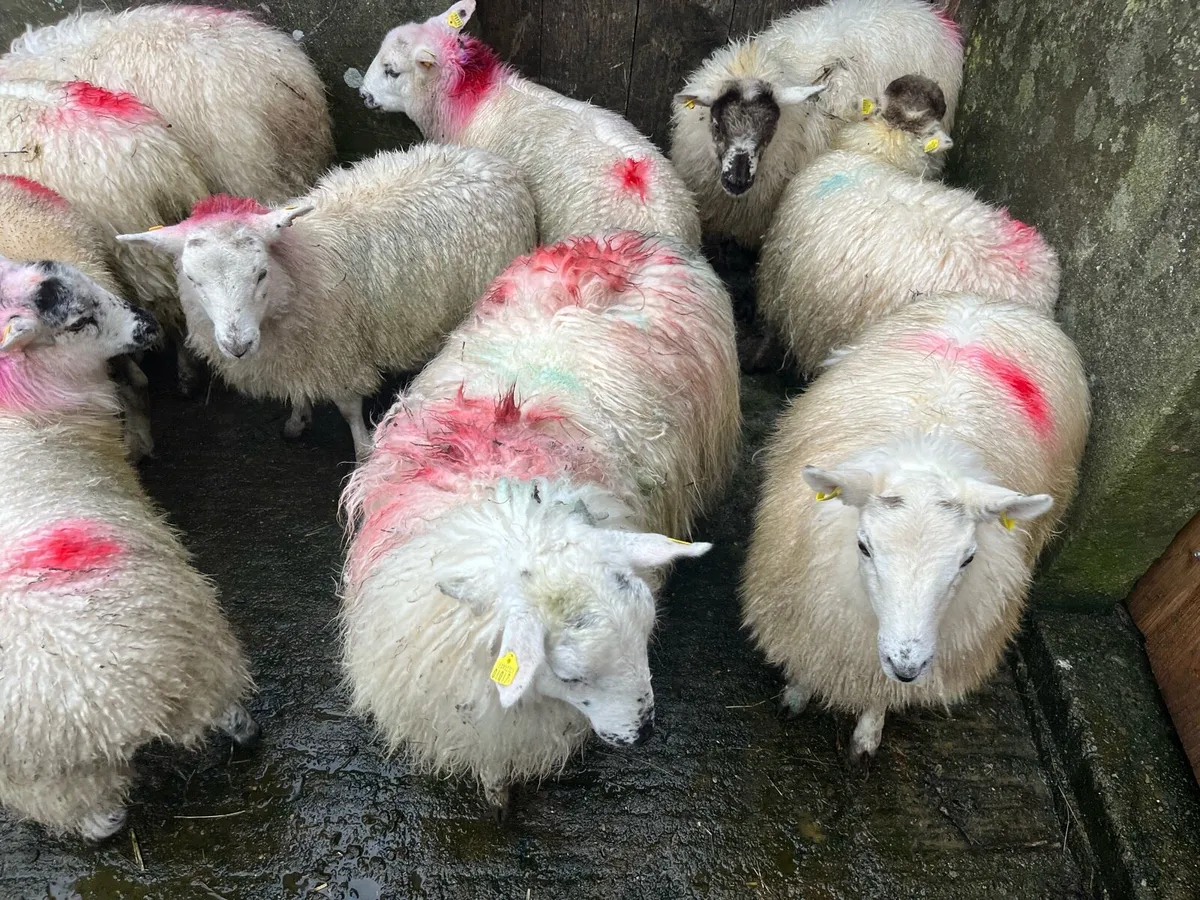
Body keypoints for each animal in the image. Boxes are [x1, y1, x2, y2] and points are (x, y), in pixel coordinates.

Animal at [118, 144, 538, 459]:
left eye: (260, 273)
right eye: (193, 280)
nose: (237, 345)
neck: (298, 267)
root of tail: (494, 163)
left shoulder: (338, 350)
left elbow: (348, 407)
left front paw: (364, 451)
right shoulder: (299, 353)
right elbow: (298, 390)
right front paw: (296, 418)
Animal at [742, 292, 1090, 762]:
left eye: (968, 560)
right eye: (864, 547)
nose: (907, 665)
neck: (929, 447)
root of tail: (984, 301)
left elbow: (880, 697)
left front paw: (867, 736)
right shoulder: (813, 619)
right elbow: (807, 662)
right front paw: (798, 693)